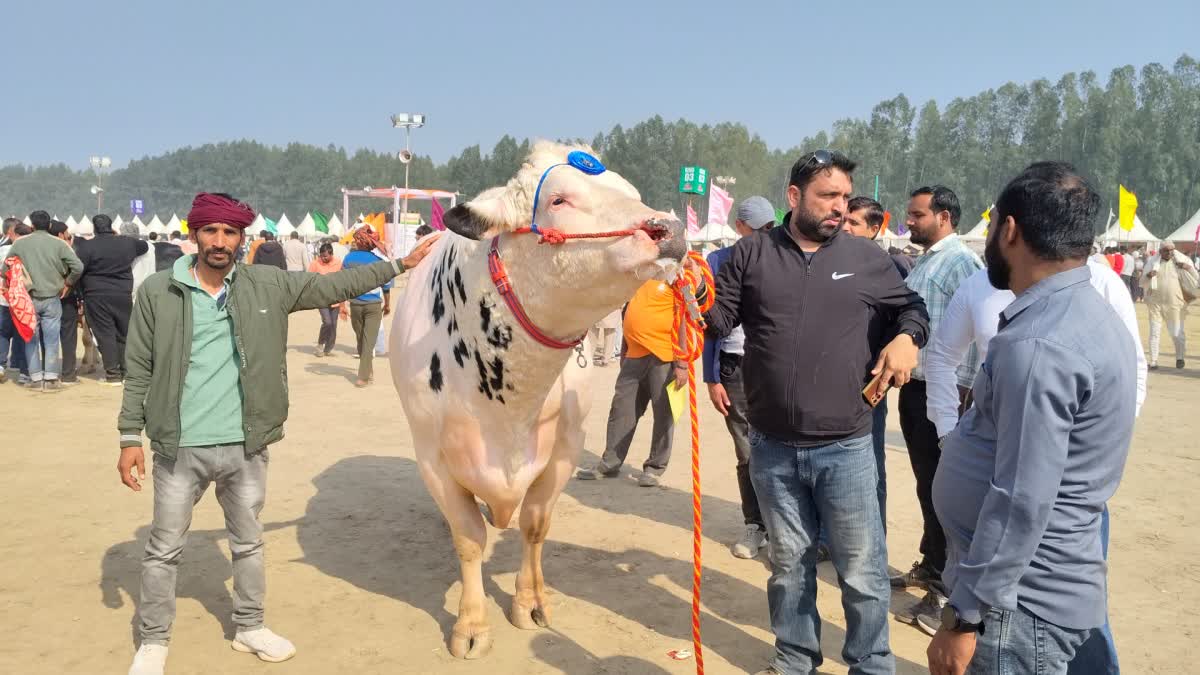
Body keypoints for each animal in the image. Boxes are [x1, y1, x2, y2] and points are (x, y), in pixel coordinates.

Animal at [388, 141, 687, 659]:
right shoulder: (433, 458)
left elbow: (534, 525)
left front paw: (529, 603)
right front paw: (471, 625)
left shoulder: (565, 449)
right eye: (559, 200)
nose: (669, 229)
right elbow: (468, 537)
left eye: (632, 193)